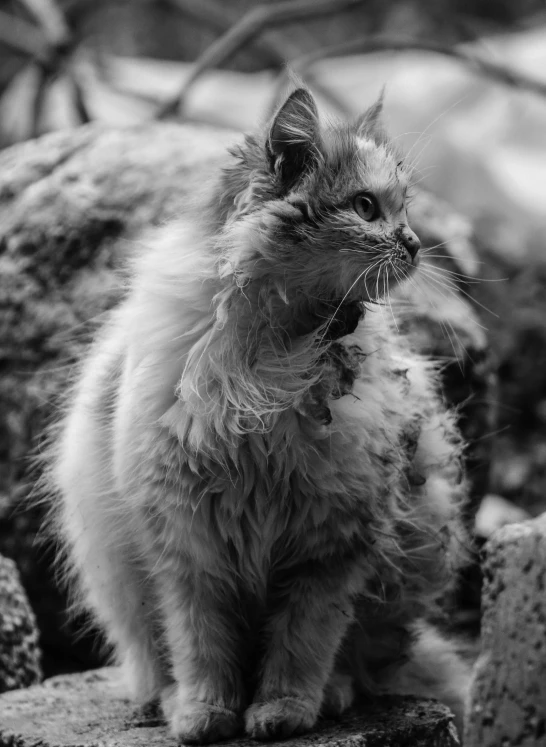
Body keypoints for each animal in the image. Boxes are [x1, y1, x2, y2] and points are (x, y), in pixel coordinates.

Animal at [50, 87, 468, 744]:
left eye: (404, 212)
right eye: (366, 207)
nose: (414, 243)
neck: (276, 362)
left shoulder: (330, 550)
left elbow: (302, 645)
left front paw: (283, 711)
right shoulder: (187, 552)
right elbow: (201, 648)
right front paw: (204, 714)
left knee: (363, 662)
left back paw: (334, 696)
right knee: (153, 662)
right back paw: (167, 701)